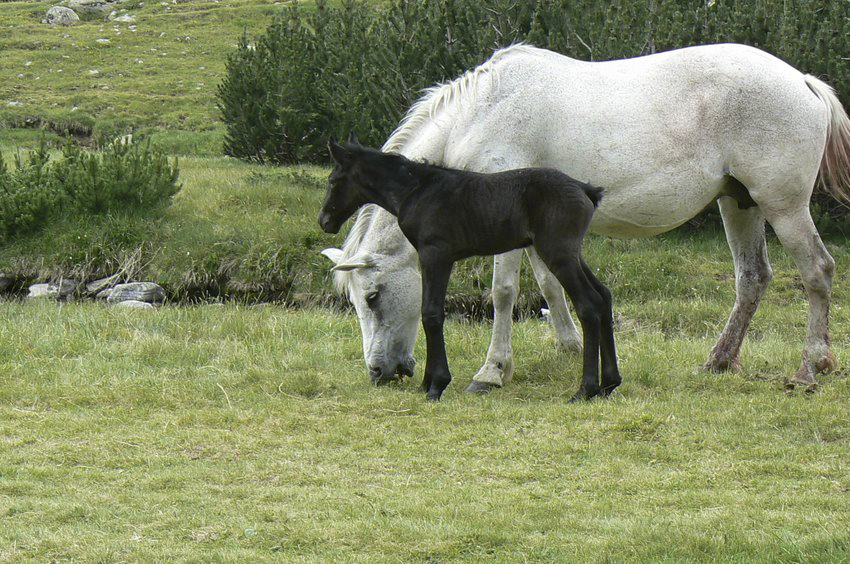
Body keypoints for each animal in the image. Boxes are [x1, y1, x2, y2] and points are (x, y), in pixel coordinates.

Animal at [320, 44, 848, 394]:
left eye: (372, 297)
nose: (378, 372)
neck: (483, 112)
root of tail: (803, 81)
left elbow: (503, 292)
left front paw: (492, 371)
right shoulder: (534, 229)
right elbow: (549, 286)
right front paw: (570, 345)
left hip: (783, 206)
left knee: (817, 272)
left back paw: (810, 369)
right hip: (739, 203)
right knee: (752, 278)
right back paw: (718, 361)